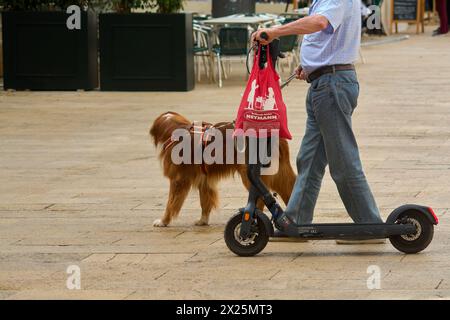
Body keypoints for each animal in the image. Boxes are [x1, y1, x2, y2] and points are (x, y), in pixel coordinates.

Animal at [149, 111, 296, 226]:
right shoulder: (204, 180)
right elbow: (205, 202)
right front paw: (203, 221)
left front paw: (163, 221)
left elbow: (171, 203)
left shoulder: (178, 180)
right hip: (280, 172)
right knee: (290, 187)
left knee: (260, 199)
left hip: (250, 174)